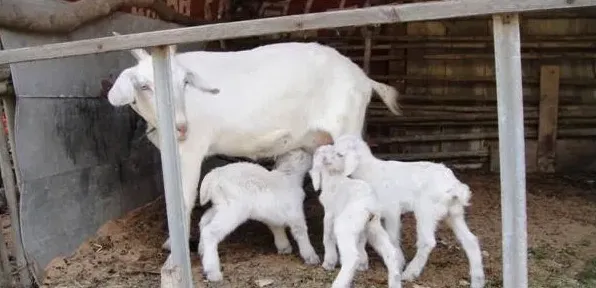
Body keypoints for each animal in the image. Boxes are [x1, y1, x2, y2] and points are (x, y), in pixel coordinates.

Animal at [109, 41, 402, 250]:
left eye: (184, 82)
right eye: (143, 86)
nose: (180, 126)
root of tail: (364, 78)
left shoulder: (192, 146)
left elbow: (184, 198)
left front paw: (173, 250)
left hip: (347, 125)